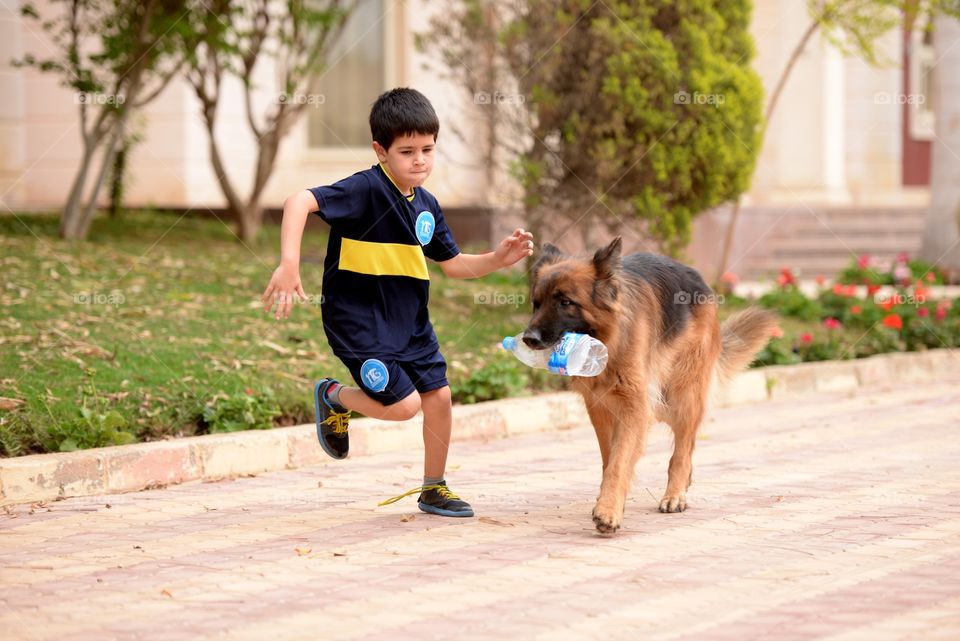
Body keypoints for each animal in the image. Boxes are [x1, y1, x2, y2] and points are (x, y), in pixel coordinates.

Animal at [520, 238, 776, 532]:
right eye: (536, 304)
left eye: (565, 302)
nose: (528, 338)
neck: (608, 342)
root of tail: (699, 279)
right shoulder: (600, 407)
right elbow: (610, 457)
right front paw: (611, 500)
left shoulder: (635, 406)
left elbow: (620, 461)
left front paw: (608, 510)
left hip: (681, 396)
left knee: (683, 449)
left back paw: (675, 494)